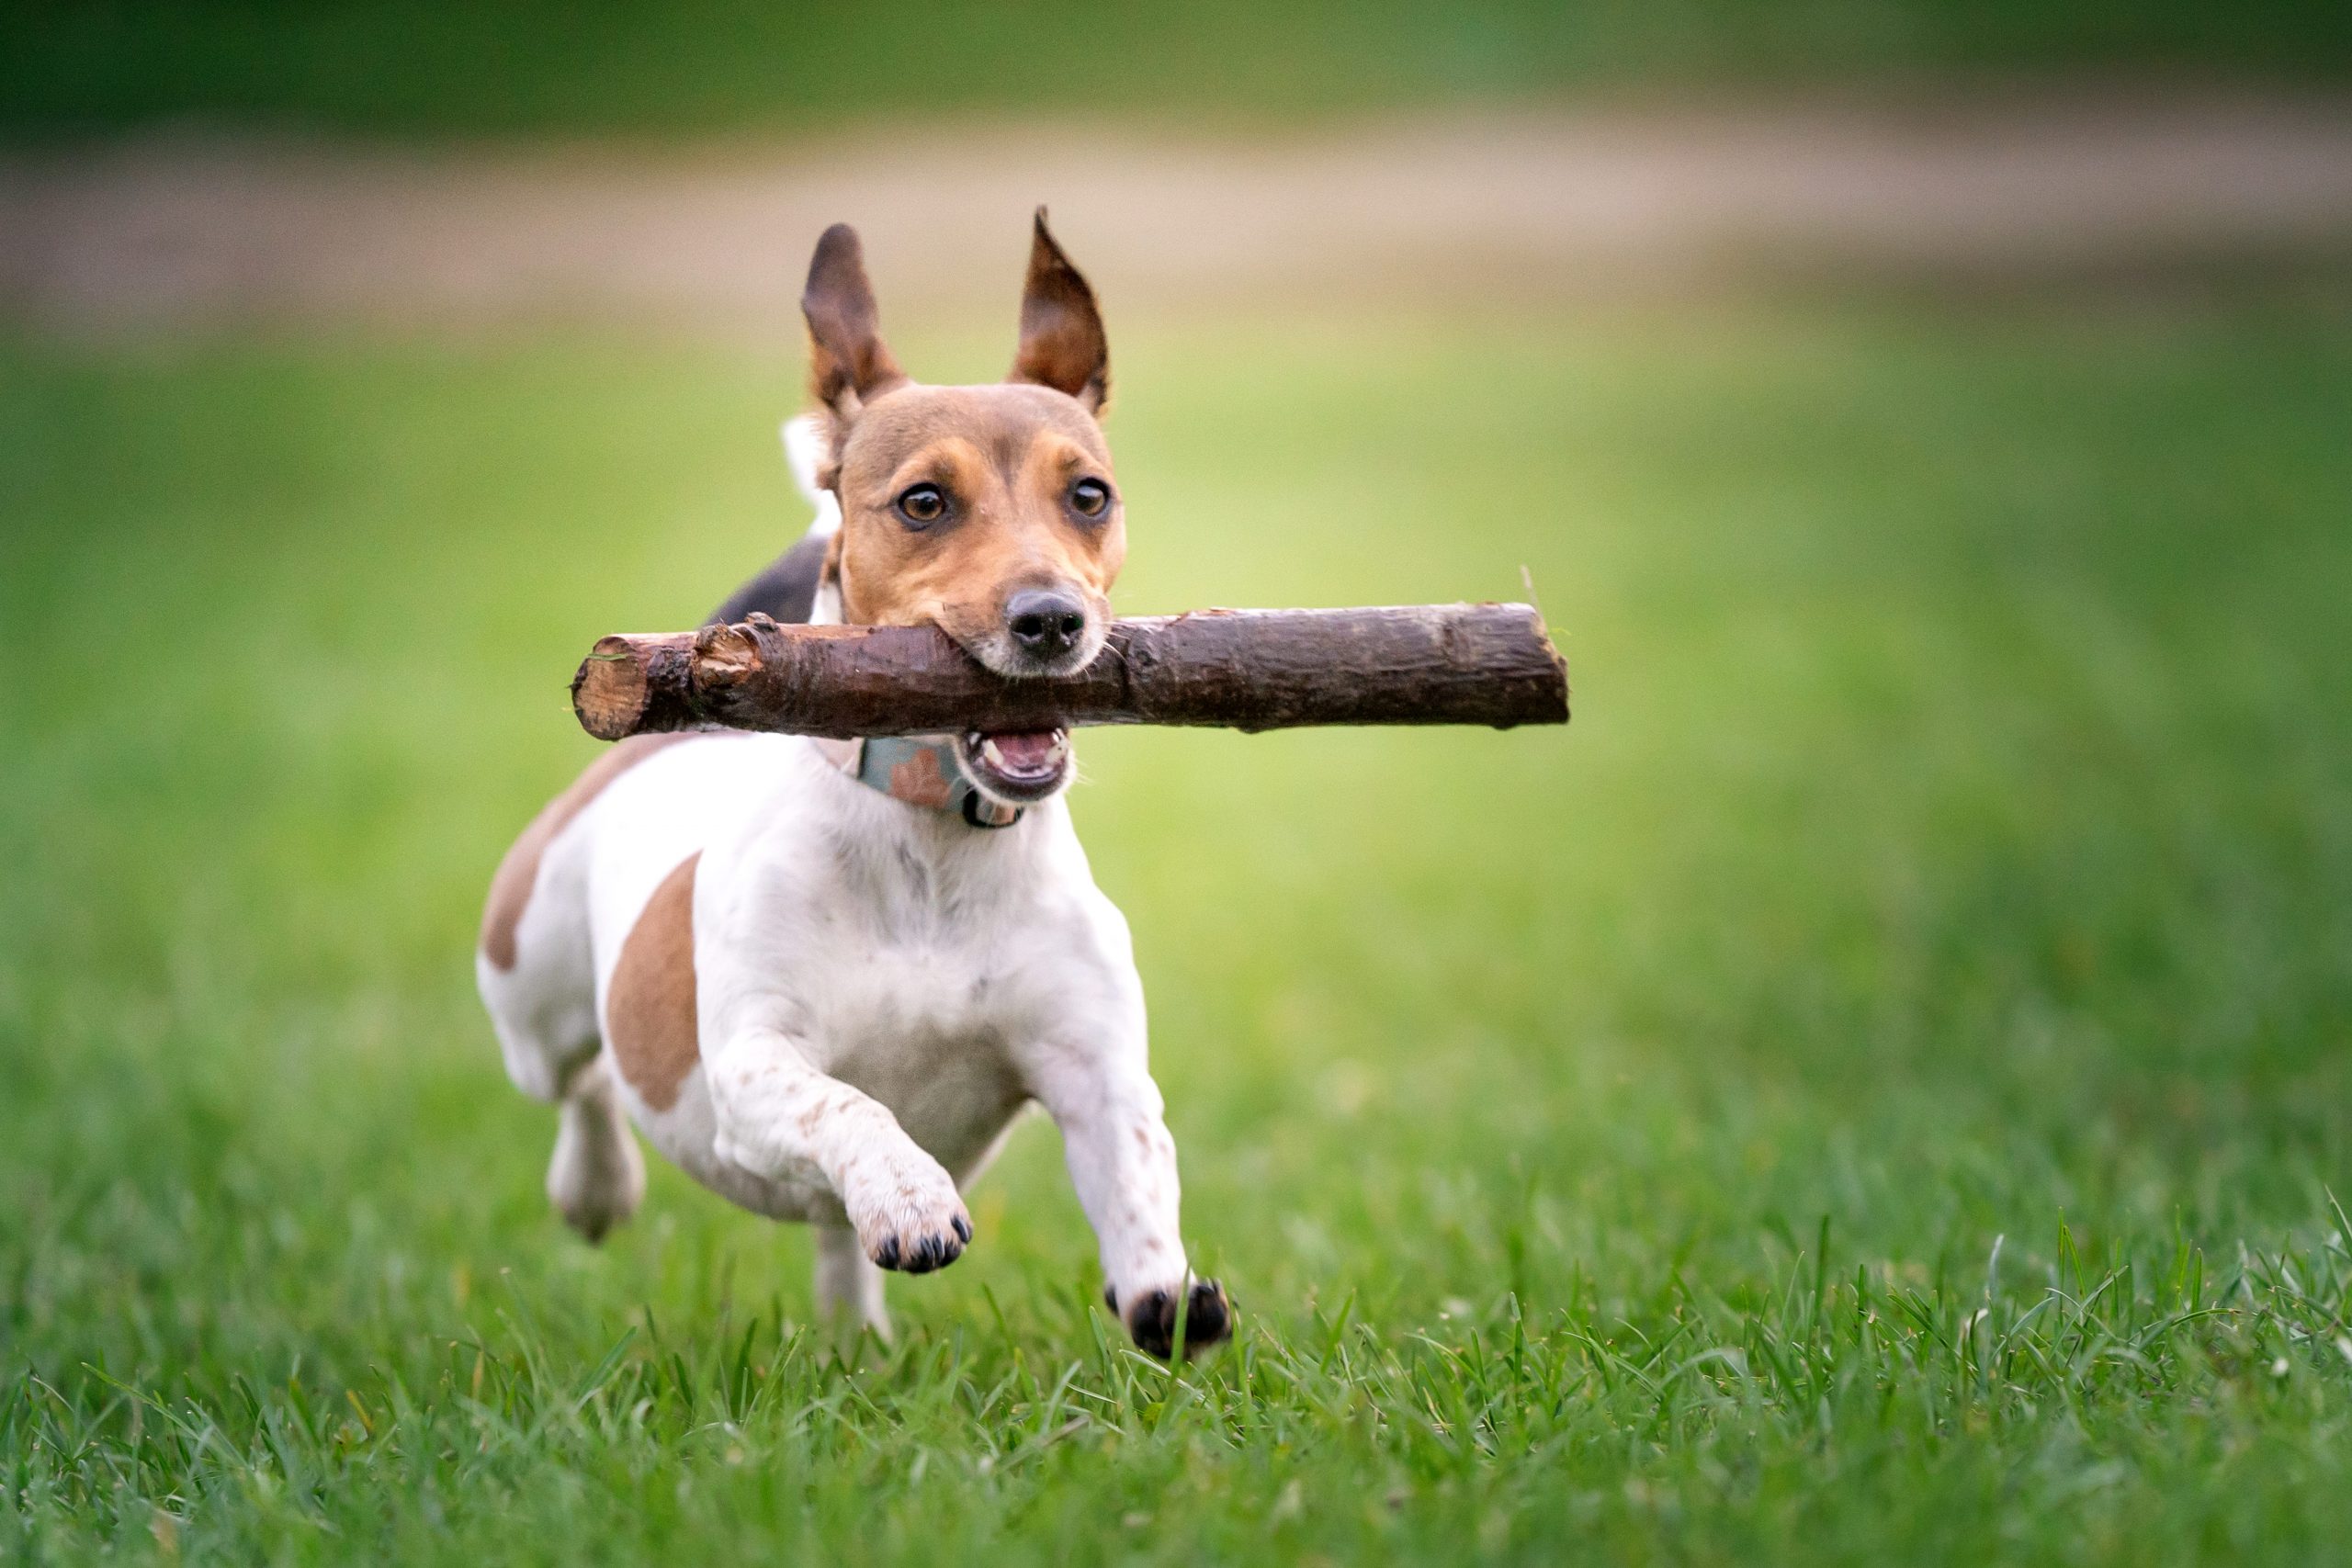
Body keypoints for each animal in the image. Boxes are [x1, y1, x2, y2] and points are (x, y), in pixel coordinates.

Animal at [486, 211, 1241, 1363]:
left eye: (1089, 495)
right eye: (923, 501)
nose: (1052, 620)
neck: (930, 835)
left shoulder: (1093, 1063)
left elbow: (1136, 1165)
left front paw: (1164, 1287)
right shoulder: (750, 1066)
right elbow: (848, 1108)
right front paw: (910, 1195)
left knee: (830, 1237)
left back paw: (857, 1340)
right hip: (529, 977)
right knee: (578, 1081)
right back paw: (597, 1185)